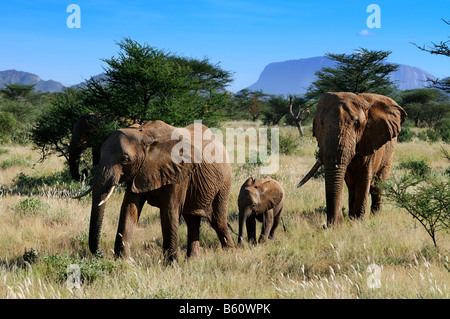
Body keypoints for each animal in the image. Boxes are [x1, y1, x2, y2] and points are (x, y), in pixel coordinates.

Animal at [74, 120, 234, 262]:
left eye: (125, 159)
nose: (101, 253)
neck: (145, 135)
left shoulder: (179, 172)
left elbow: (169, 210)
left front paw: (171, 265)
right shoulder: (140, 171)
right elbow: (129, 208)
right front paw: (124, 262)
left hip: (224, 181)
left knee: (218, 220)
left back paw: (230, 254)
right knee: (192, 220)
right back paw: (192, 261)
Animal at [298, 92, 406, 228]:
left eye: (357, 124)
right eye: (321, 123)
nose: (328, 225)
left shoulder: (369, 141)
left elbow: (364, 178)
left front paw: (358, 222)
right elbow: (348, 180)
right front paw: (350, 220)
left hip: (389, 153)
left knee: (378, 183)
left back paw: (375, 215)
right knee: (352, 185)